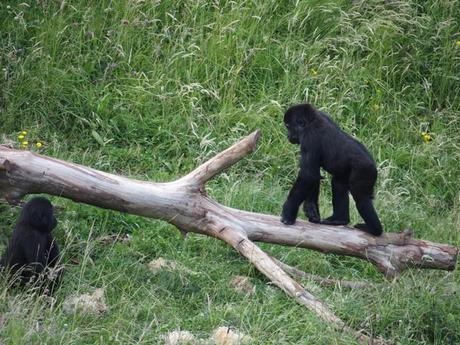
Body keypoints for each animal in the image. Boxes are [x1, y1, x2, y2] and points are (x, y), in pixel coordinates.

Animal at [280, 103, 384, 235]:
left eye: (288, 127)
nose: (288, 136)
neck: (311, 121)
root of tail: (374, 166)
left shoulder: (309, 138)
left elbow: (308, 175)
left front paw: (288, 213)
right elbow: (314, 176)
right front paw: (311, 210)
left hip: (365, 171)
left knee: (362, 199)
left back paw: (375, 230)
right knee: (338, 184)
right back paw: (339, 219)